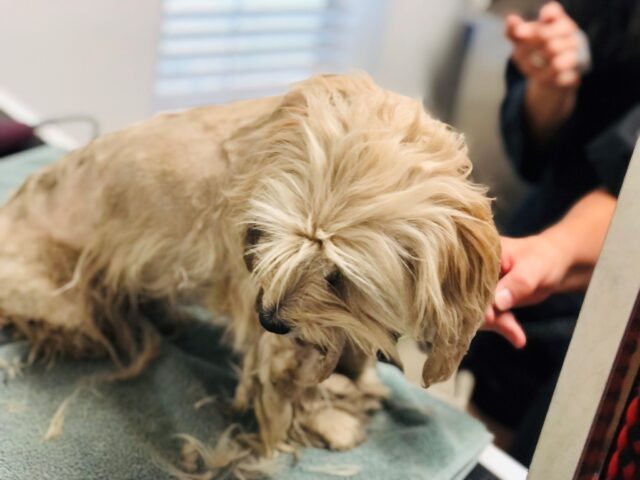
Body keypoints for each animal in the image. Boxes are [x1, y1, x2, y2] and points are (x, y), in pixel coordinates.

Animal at [0, 75, 500, 462]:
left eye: (340, 277)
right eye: (263, 237)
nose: (269, 318)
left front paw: (354, 385)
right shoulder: (274, 334)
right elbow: (289, 386)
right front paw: (333, 419)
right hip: (64, 302)